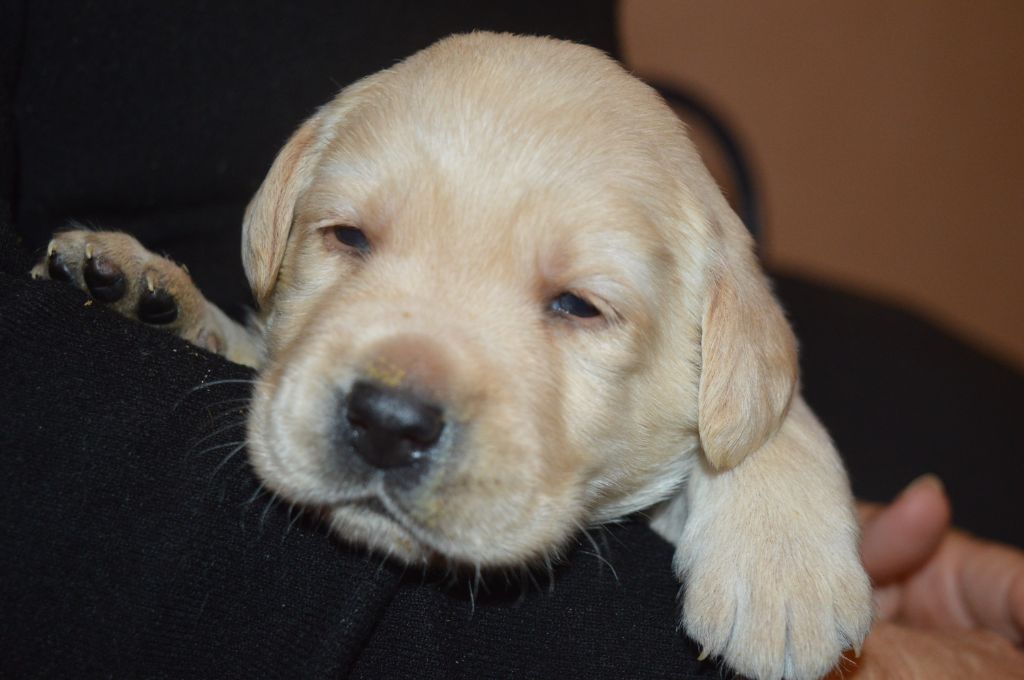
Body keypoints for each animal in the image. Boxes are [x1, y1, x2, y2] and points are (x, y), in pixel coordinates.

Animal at [37, 33, 872, 680]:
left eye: (578, 306)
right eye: (348, 237)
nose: (387, 423)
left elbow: (770, 416)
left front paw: (783, 572)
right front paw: (153, 291)